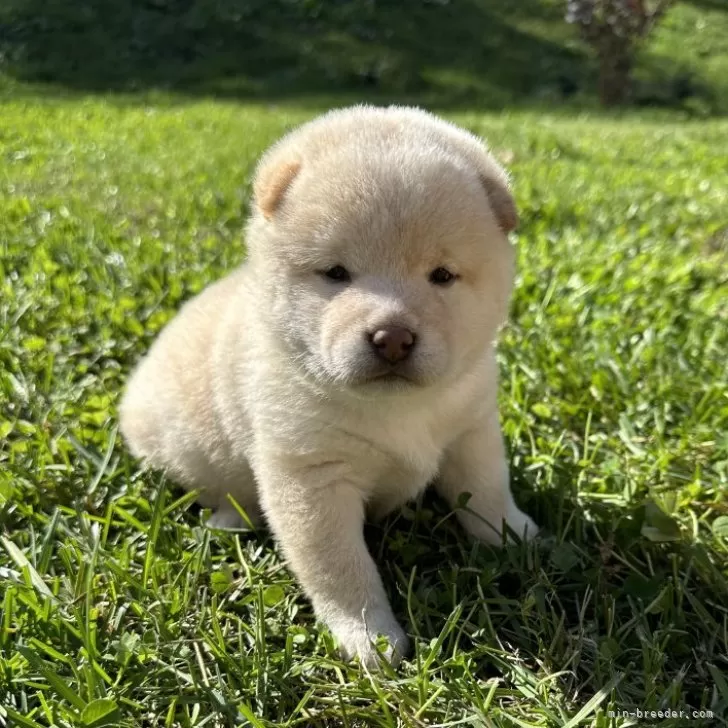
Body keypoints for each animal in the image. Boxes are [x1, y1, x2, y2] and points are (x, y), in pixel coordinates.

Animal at [119, 105, 536, 668]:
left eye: (443, 275)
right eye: (336, 273)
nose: (392, 337)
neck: (398, 410)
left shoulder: (471, 431)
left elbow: (488, 492)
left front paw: (515, 536)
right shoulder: (313, 477)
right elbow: (341, 568)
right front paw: (370, 640)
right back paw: (228, 520)